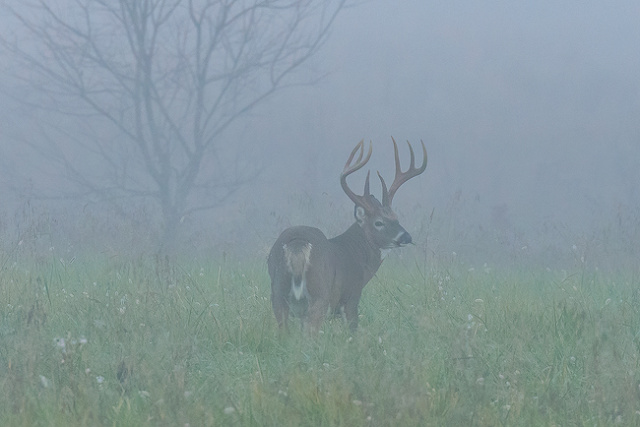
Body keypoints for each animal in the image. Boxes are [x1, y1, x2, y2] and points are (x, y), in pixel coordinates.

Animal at [268, 139, 428, 332]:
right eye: (379, 222)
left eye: (396, 218)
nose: (406, 237)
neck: (355, 254)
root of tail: (298, 244)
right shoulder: (352, 296)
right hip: (319, 294)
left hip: (278, 293)